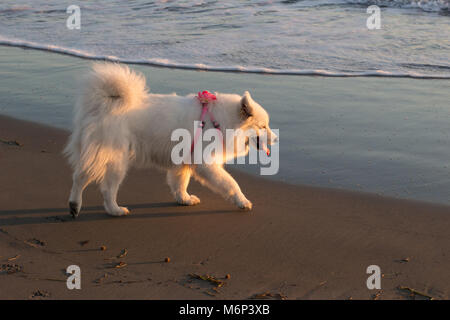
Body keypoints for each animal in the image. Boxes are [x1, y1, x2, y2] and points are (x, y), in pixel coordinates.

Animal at [63, 62, 278, 218]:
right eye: (263, 126)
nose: (276, 138)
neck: (219, 122)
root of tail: (103, 105)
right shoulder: (206, 164)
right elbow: (231, 183)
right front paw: (242, 201)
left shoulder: (183, 162)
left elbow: (180, 183)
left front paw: (184, 199)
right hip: (115, 160)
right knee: (105, 187)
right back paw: (114, 210)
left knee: (78, 176)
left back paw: (74, 205)